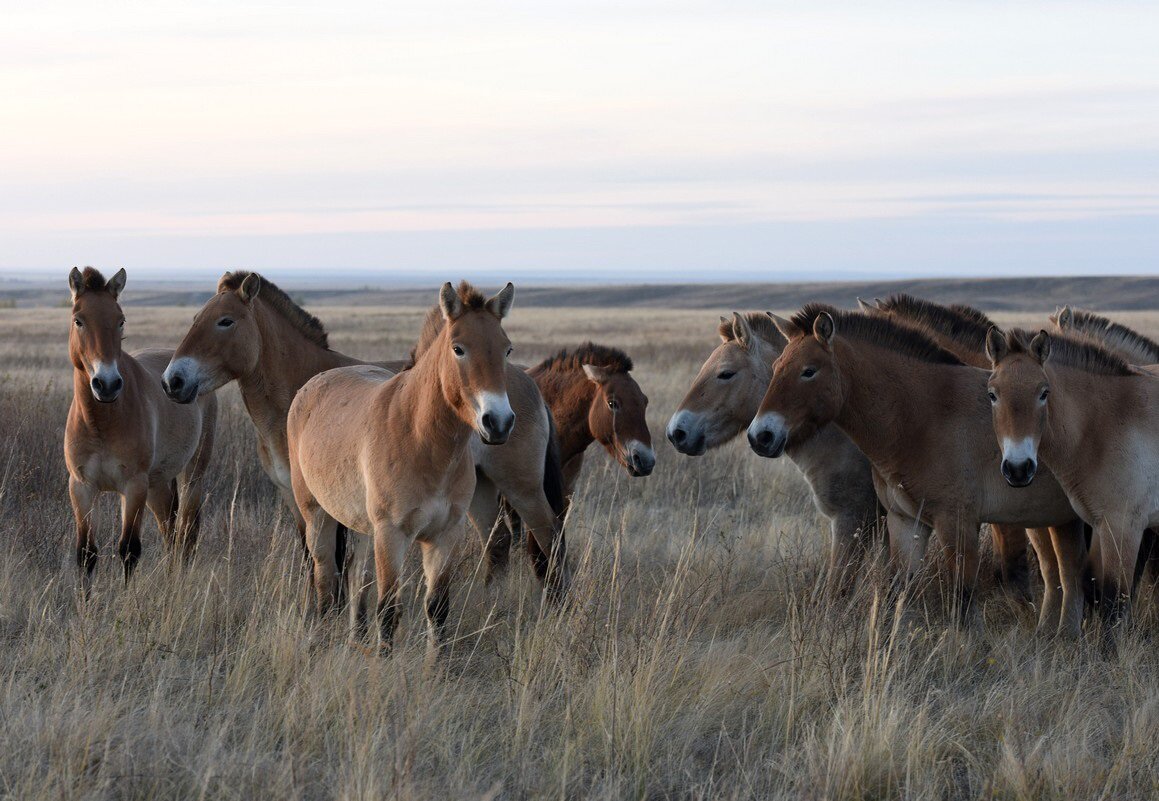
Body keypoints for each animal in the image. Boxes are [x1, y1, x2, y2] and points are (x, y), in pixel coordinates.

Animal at [64, 267, 217, 581]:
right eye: (78, 320)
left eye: (120, 320)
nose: (107, 384)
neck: (101, 423)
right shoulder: (82, 487)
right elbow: (86, 554)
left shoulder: (133, 486)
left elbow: (129, 550)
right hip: (157, 485)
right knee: (169, 531)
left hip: (192, 474)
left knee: (186, 532)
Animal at [289, 280, 516, 653]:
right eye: (458, 349)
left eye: (507, 349)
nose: (498, 422)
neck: (422, 441)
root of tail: (313, 383)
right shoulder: (392, 535)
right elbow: (388, 610)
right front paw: (382, 663)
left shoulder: (444, 536)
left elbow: (437, 609)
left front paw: (435, 665)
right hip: (316, 514)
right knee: (325, 576)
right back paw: (322, 638)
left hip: (363, 526)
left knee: (356, 576)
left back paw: (356, 639)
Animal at [987, 326, 1159, 625]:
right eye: (992, 395)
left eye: (1044, 393)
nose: (1018, 469)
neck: (1105, 424)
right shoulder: (1100, 525)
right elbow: (1093, 588)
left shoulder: (1124, 528)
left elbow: (1113, 601)